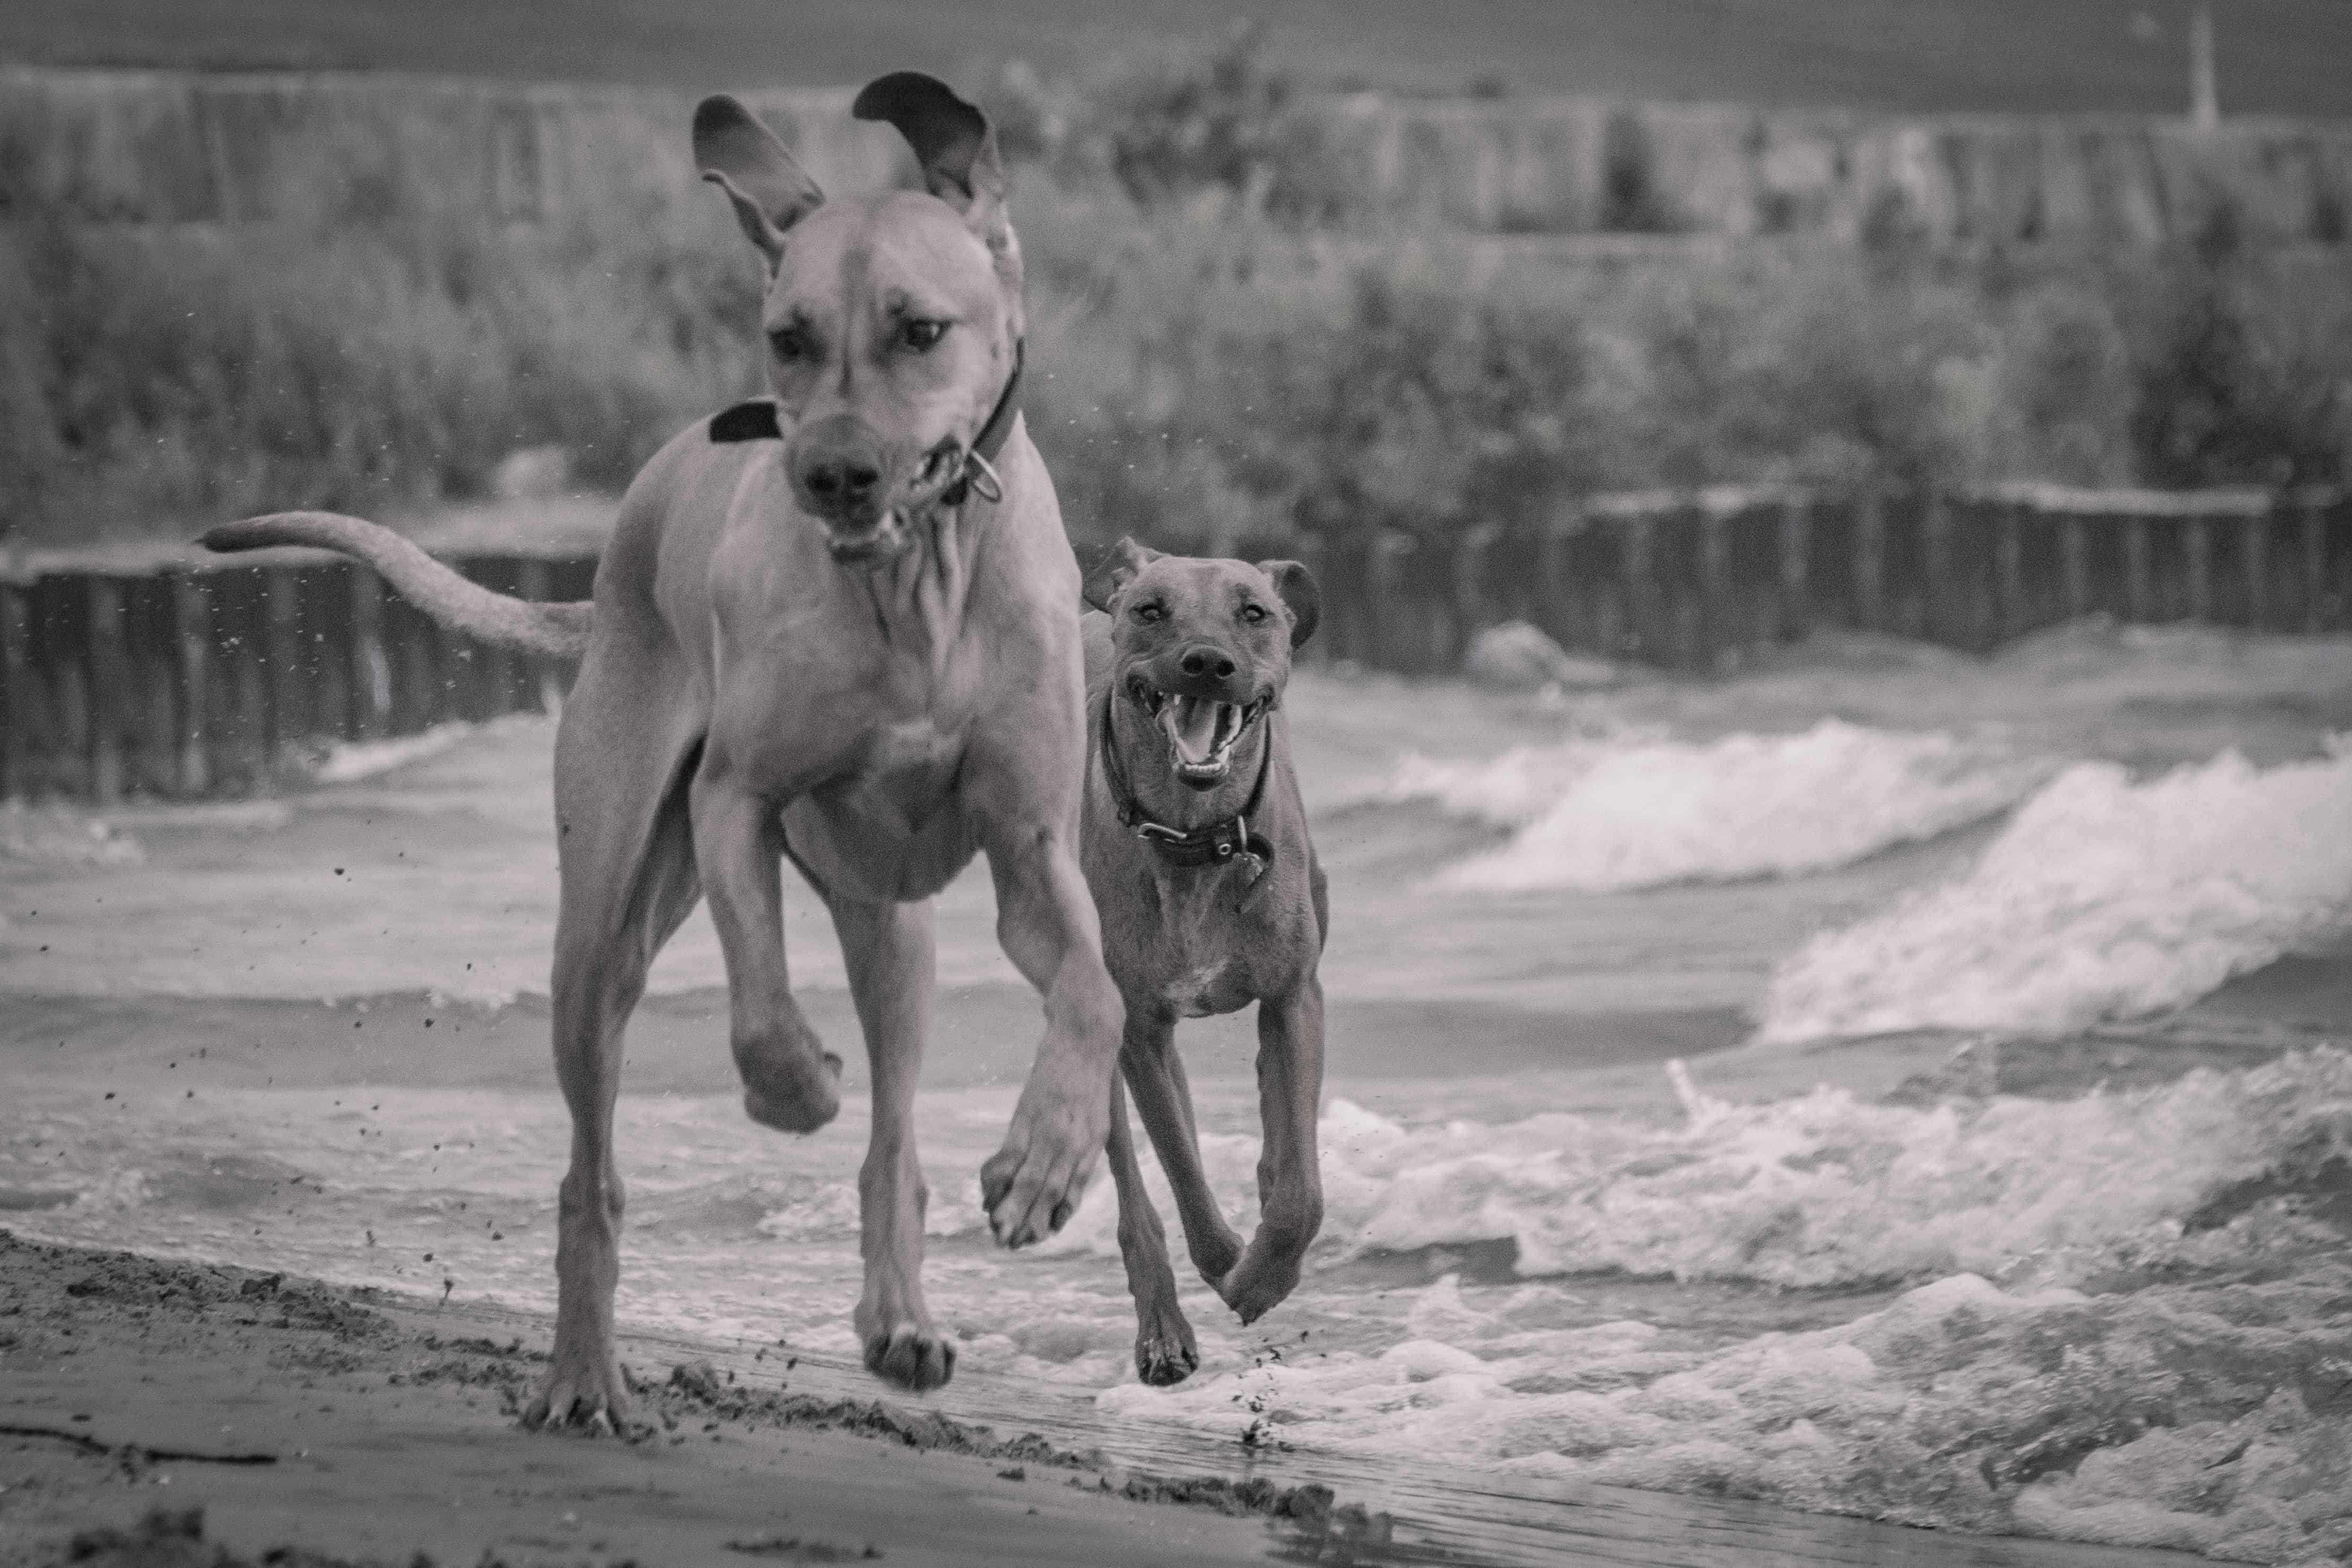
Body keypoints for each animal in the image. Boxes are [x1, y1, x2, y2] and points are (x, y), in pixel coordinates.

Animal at [202, 73, 1119, 1419]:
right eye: (788, 336)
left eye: (920, 330)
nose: (831, 473)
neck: (916, 588)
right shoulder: (735, 803)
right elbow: (756, 1009)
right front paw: (794, 1083)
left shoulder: (1034, 846)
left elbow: (1095, 991)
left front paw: (1048, 1159)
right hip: (602, 930)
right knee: (592, 1169)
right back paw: (584, 1373)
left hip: (892, 939)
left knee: (892, 1135)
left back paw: (898, 1315)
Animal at [1077, 536, 1326, 1382]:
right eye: (1152, 610)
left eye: (1254, 612)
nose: (1207, 664)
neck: (1192, 834)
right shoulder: (1139, 1028)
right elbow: (1181, 1167)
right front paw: (1233, 1272)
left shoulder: (1294, 995)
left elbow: (1300, 1195)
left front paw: (1266, 1271)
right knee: (1134, 1189)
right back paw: (1162, 1328)